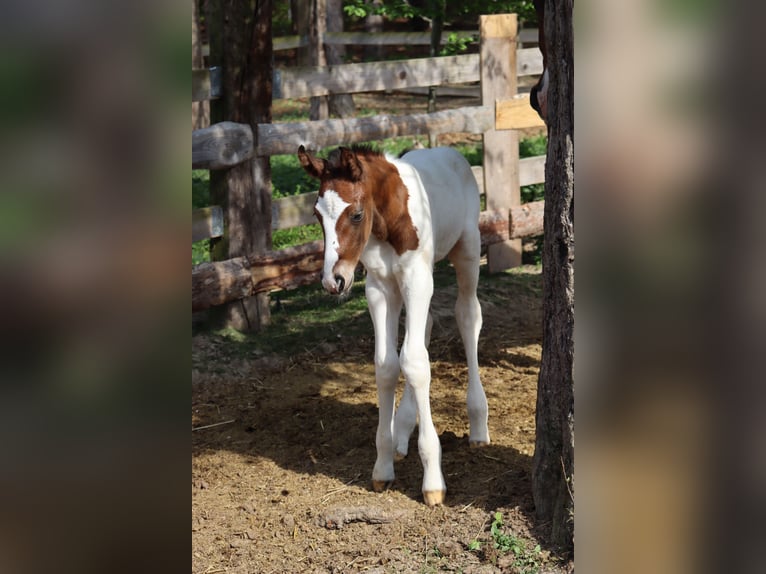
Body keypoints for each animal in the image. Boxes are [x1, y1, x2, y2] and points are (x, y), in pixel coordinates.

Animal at [296, 145, 488, 508]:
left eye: (357, 214)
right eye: (316, 214)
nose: (333, 281)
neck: (388, 221)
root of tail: (449, 151)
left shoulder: (417, 277)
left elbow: (414, 363)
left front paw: (433, 482)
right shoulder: (380, 287)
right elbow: (387, 366)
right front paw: (383, 466)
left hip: (467, 249)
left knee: (468, 316)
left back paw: (478, 425)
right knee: (423, 329)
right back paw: (401, 432)